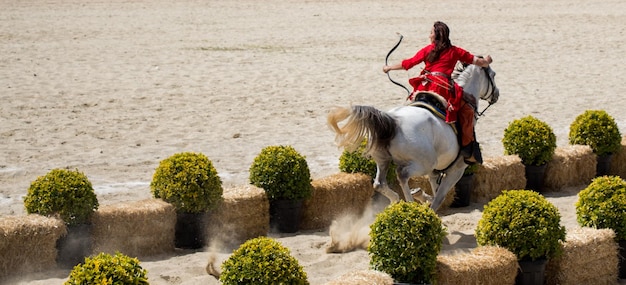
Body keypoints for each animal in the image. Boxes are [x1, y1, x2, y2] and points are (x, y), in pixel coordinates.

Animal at [326, 62, 498, 211]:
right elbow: (440, 197)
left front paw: (423, 197)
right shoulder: (456, 170)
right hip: (422, 164)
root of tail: (393, 120)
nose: (496, 94)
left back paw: (397, 199)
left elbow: (436, 193)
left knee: (379, 183)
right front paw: (426, 204)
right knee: (402, 175)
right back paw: (408, 203)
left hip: (383, 160)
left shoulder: (434, 172)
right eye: (493, 75)